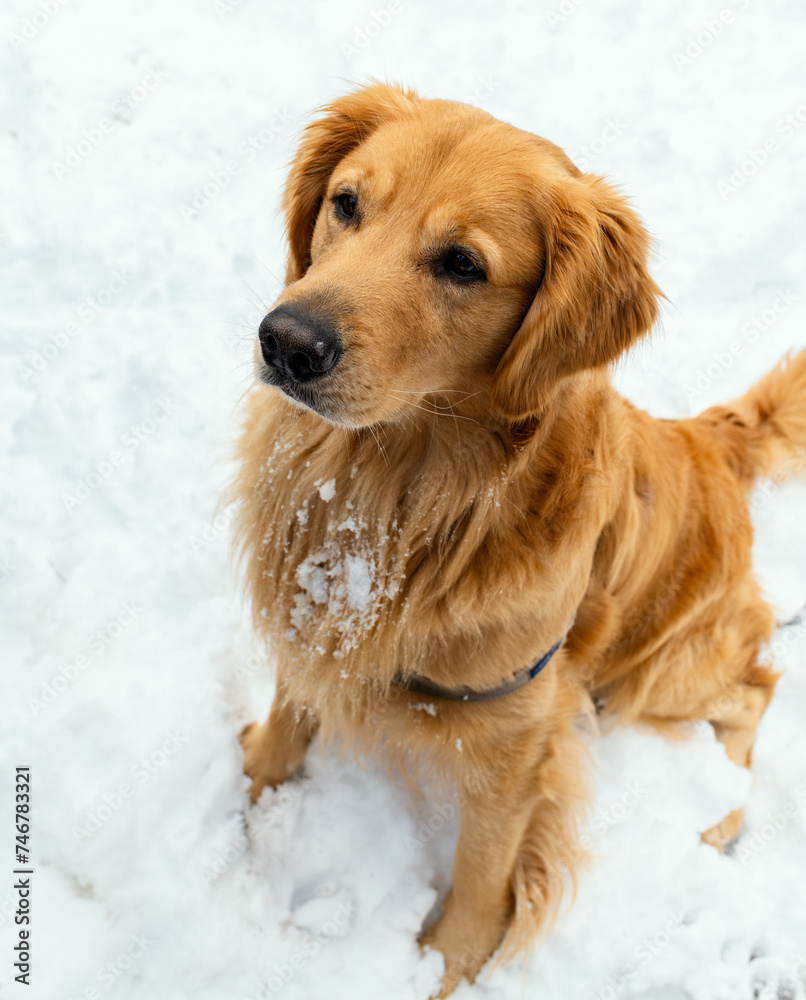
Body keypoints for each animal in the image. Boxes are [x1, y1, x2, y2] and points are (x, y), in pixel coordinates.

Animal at [232, 84, 806, 992]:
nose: (287, 341)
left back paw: (720, 818)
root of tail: (710, 441)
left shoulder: (516, 726)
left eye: (463, 264)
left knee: (756, 685)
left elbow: (486, 865)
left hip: (656, 672)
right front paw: (251, 796)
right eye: (346, 203)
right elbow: (290, 712)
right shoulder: (314, 613)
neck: (394, 492)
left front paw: (448, 965)